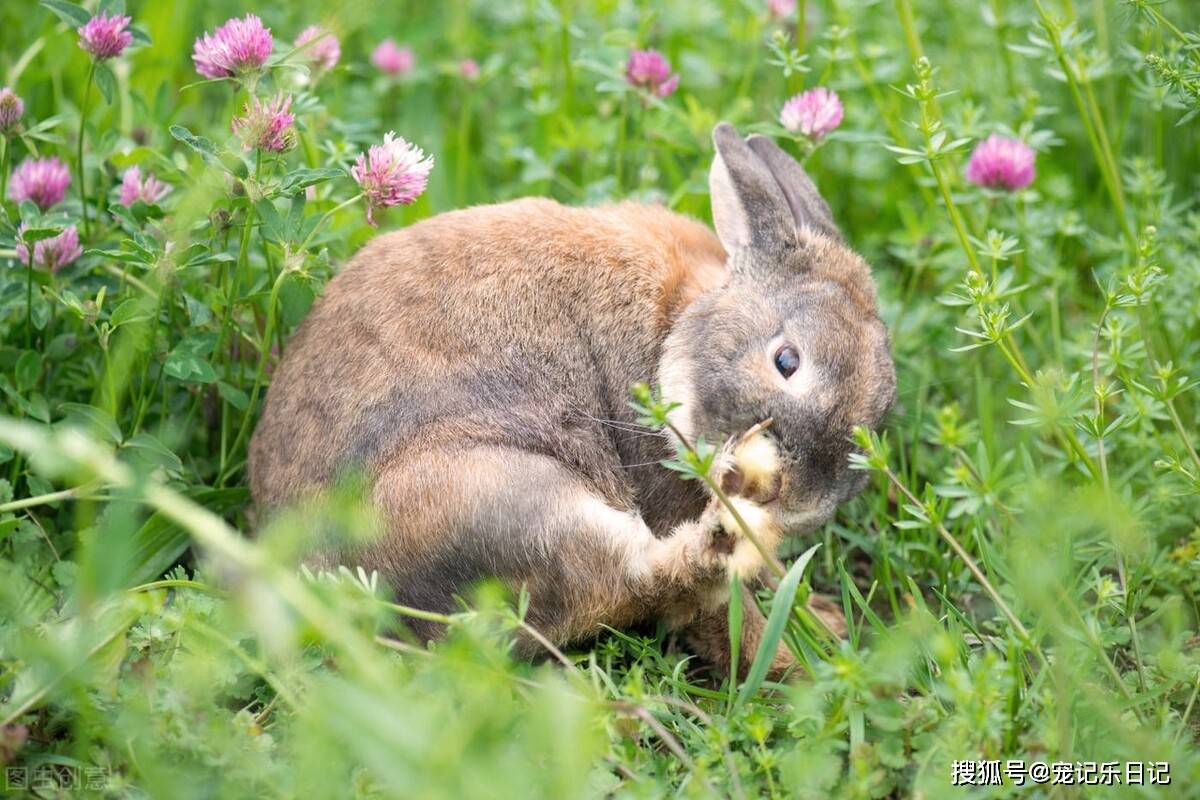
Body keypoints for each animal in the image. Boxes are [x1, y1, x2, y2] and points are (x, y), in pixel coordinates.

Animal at [248, 123, 897, 676]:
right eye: (786, 361)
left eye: (877, 418)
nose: (800, 496)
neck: (680, 320)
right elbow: (715, 615)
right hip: (503, 500)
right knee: (644, 580)